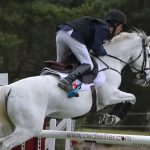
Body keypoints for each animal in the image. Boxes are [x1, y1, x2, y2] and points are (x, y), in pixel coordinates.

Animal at [0, 29, 150, 149]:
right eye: (148, 54)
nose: (147, 78)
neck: (111, 62)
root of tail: (10, 88)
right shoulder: (108, 96)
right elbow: (132, 97)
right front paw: (113, 118)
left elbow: (130, 98)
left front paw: (110, 118)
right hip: (28, 128)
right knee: (6, 144)